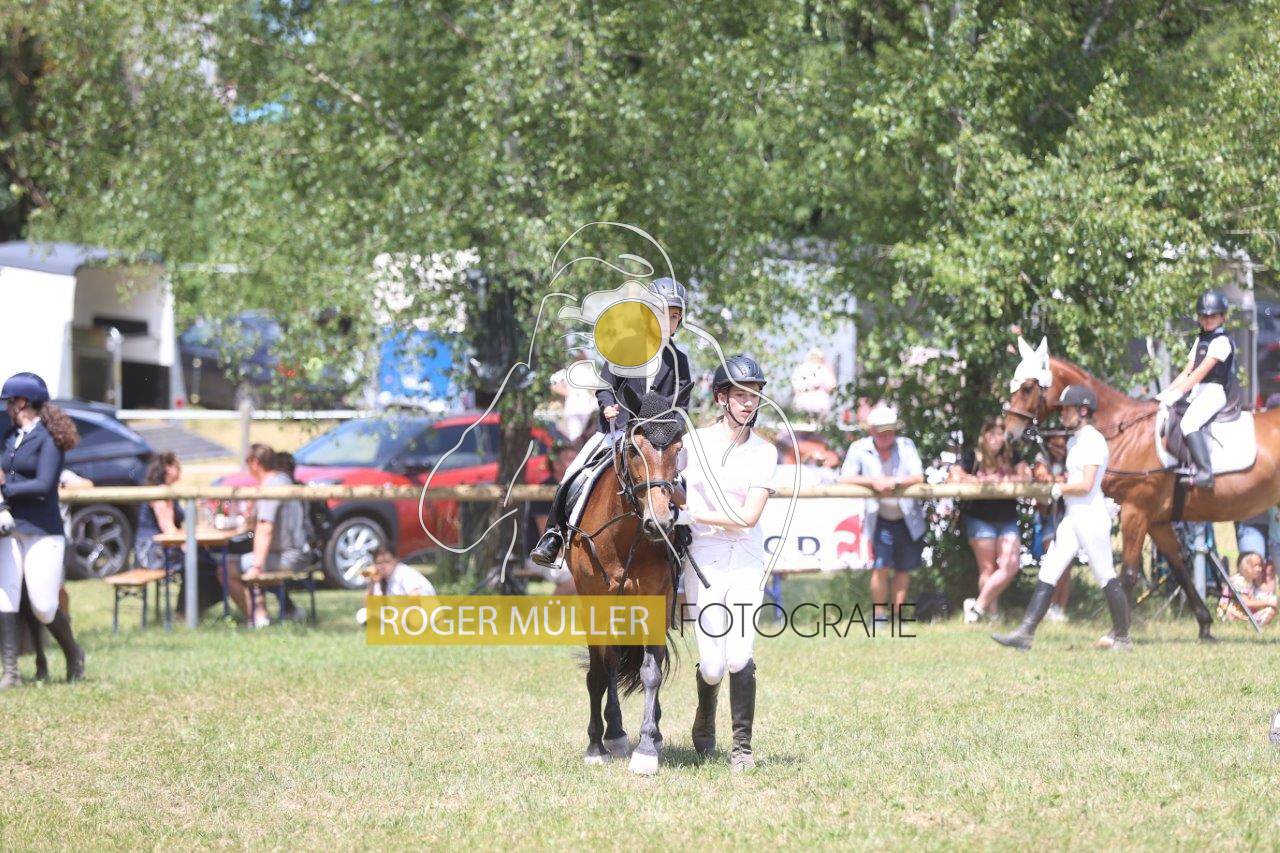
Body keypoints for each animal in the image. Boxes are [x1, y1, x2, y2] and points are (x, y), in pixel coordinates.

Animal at [561, 387, 685, 775]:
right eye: (633, 450)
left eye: (678, 449)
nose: (659, 523)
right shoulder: (594, 601)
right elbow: (600, 671)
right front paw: (597, 745)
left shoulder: (656, 600)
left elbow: (650, 672)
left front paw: (646, 748)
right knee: (610, 663)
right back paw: (613, 734)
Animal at [1002, 341, 1280, 641]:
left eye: (1027, 388)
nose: (1010, 435)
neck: (1122, 429)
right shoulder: (1157, 520)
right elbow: (1180, 570)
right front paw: (1205, 625)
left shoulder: (1135, 511)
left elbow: (1128, 573)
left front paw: (1116, 632)